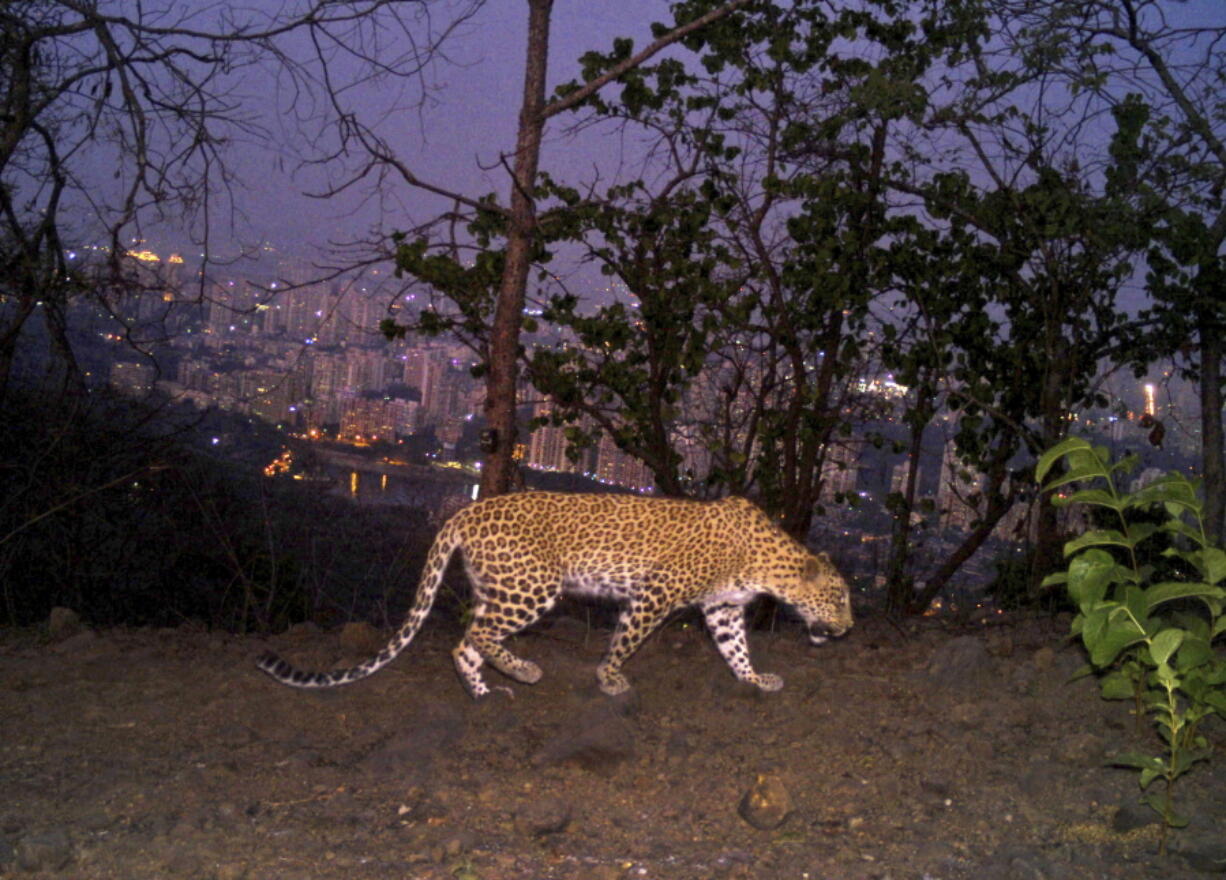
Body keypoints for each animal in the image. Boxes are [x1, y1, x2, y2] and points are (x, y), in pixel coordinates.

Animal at [258, 492, 853, 701]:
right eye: (842, 599)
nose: (849, 629)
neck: (767, 564)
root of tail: (465, 510)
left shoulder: (723, 607)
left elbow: (735, 648)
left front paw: (755, 679)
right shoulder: (654, 595)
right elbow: (626, 641)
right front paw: (610, 679)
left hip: (499, 587)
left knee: (465, 641)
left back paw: (485, 691)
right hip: (533, 588)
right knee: (474, 633)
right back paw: (523, 670)